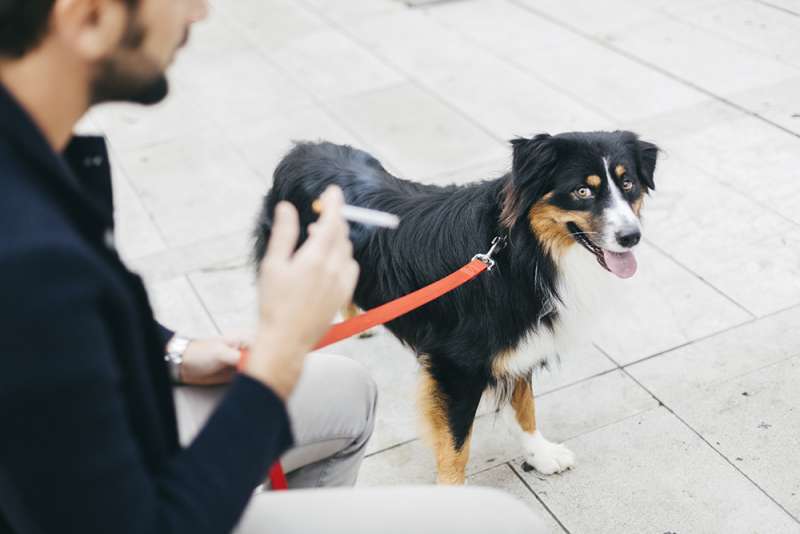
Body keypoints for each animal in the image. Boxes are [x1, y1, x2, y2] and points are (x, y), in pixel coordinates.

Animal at [255, 133, 656, 486]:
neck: (521, 253)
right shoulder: (456, 365)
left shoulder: (521, 341)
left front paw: (540, 453)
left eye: (629, 184)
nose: (631, 237)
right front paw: (453, 491)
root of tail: (301, 151)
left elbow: (525, 405)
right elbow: (456, 443)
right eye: (582, 191)